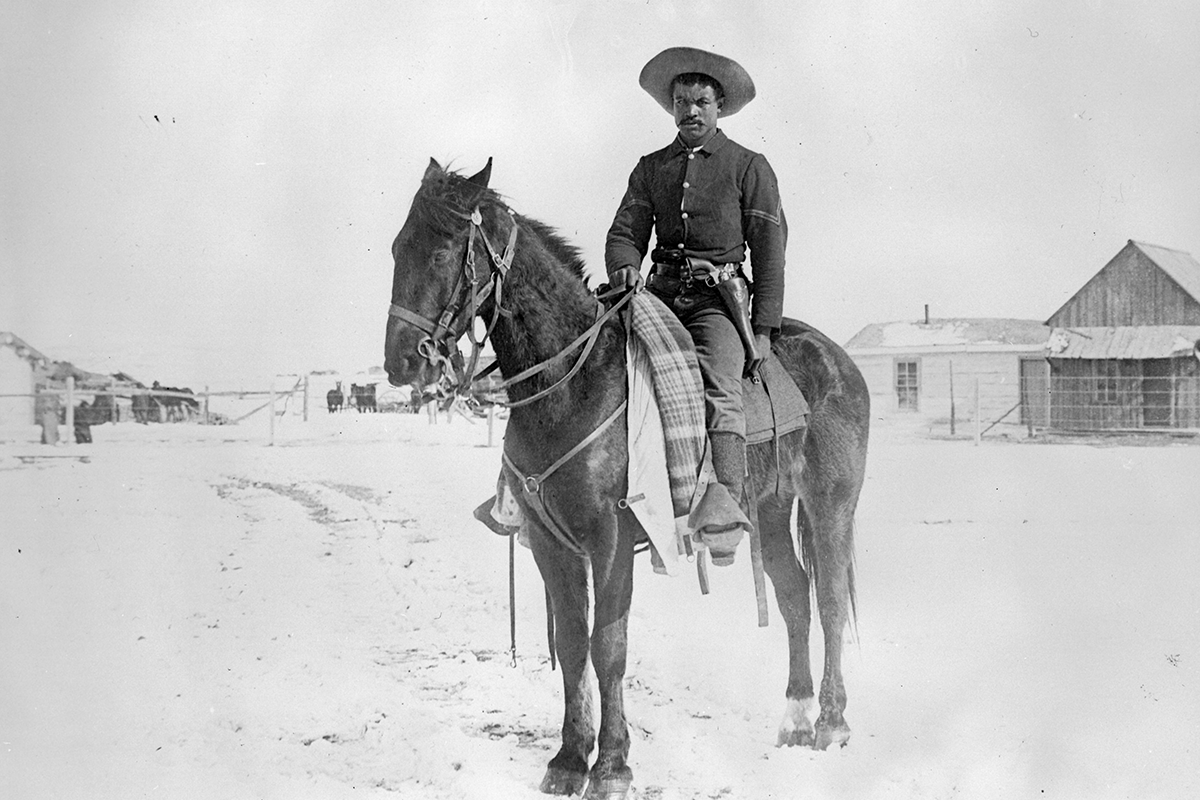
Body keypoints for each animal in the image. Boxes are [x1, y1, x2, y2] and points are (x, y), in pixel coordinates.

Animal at [379, 159, 868, 796]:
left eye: (441, 252)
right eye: (398, 248)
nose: (400, 362)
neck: (572, 381)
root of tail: (840, 362)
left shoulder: (609, 541)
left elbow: (607, 647)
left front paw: (612, 764)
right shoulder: (551, 544)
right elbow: (571, 643)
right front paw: (567, 759)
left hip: (830, 506)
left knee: (829, 600)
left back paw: (832, 723)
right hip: (770, 511)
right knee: (794, 598)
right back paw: (796, 719)